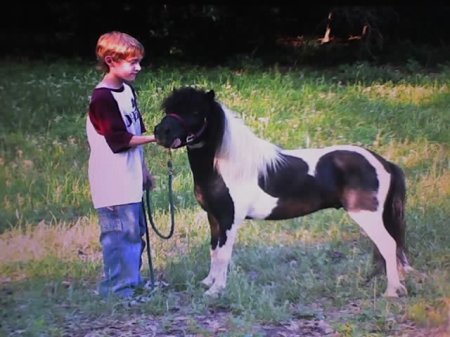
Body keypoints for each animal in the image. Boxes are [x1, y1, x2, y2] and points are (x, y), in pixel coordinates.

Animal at [154, 86, 412, 296]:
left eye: (196, 112)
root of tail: (384, 162)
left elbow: (224, 254)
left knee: (388, 245)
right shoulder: (214, 218)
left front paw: (216, 290)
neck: (226, 167)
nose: (160, 132)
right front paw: (208, 282)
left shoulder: (229, 219)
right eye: (170, 108)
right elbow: (214, 250)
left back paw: (392, 291)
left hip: (367, 216)